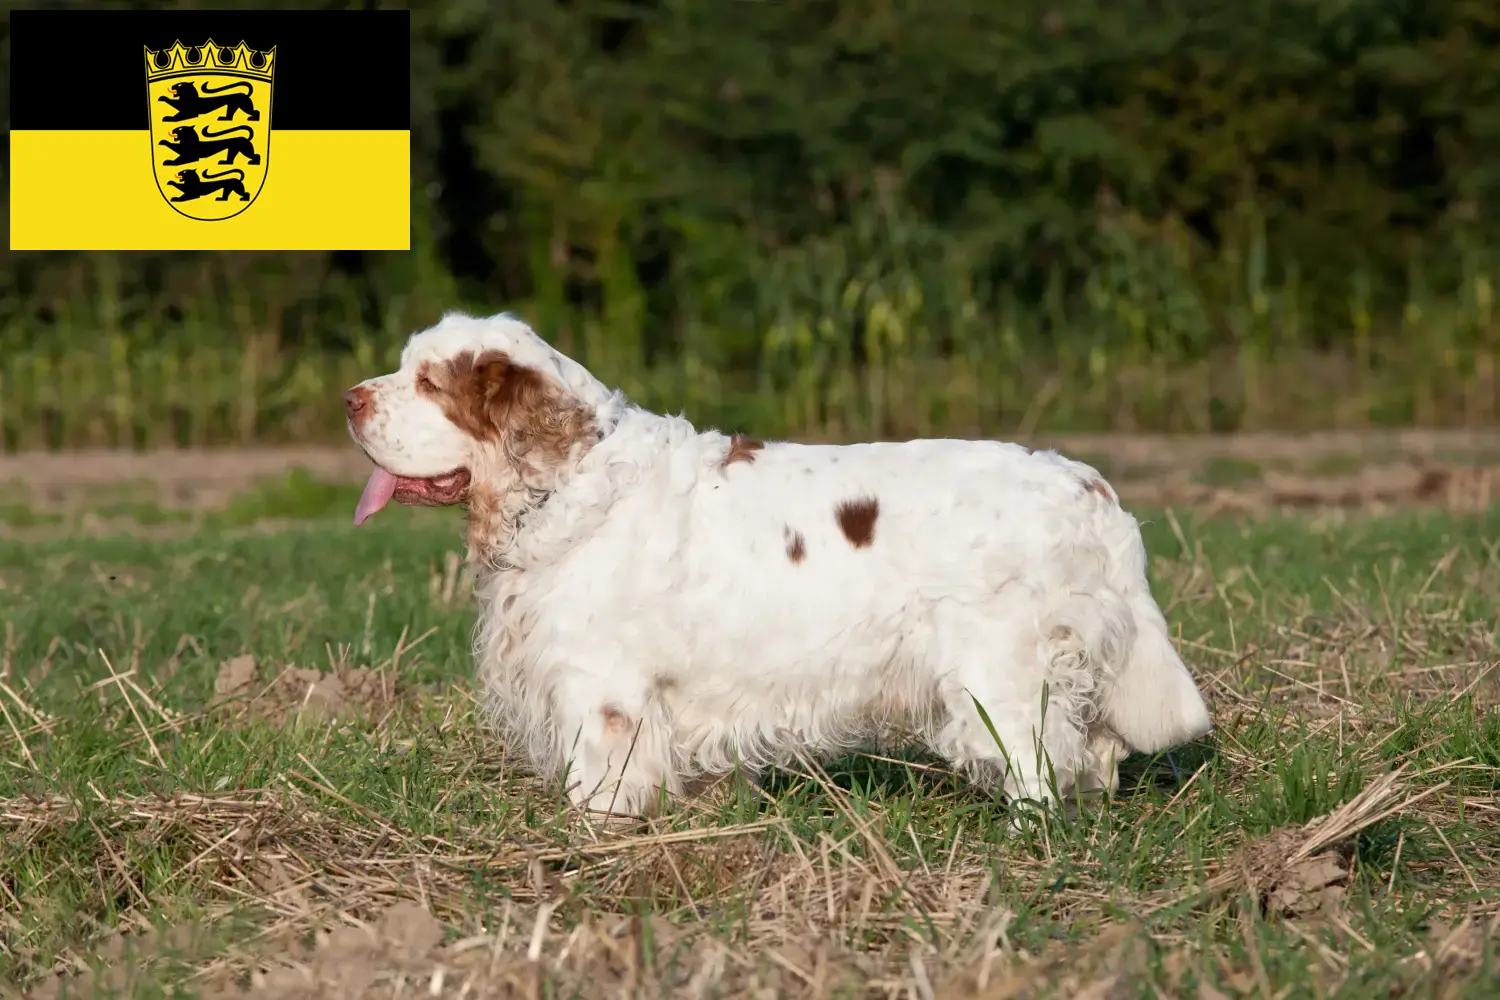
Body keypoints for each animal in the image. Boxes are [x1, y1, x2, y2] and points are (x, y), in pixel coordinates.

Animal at [340, 314, 1206, 821]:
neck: (571, 479)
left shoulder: (601, 690)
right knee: (1095, 751)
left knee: (1041, 761)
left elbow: (600, 785)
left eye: (429, 382)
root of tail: (1091, 488)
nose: (349, 399)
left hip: (1000, 676)